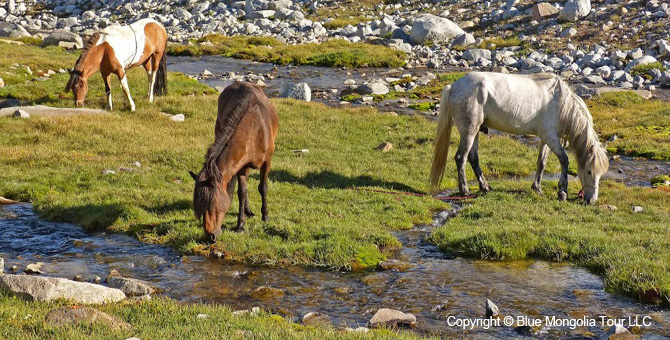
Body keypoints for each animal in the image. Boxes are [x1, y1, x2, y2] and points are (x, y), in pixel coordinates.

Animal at [190, 82, 280, 242]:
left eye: (212, 204)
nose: (210, 236)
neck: (255, 130)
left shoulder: (267, 162)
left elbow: (263, 187)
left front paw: (265, 216)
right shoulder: (241, 166)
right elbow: (242, 192)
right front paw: (240, 225)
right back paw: (247, 209)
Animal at [434, 72, 612, 203]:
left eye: (600, 174)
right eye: (589, 171)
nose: (591, 200)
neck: (561, 104)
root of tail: (453, 87)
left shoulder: (546, 139)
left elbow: (542, 163)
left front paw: (537, 188)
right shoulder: (550, 137)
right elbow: (564, 160)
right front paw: (562, 192)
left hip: (475, 131)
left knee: (473, 158)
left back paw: (485, 187)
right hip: (469, 131)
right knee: (461, 158)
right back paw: (464, 191)